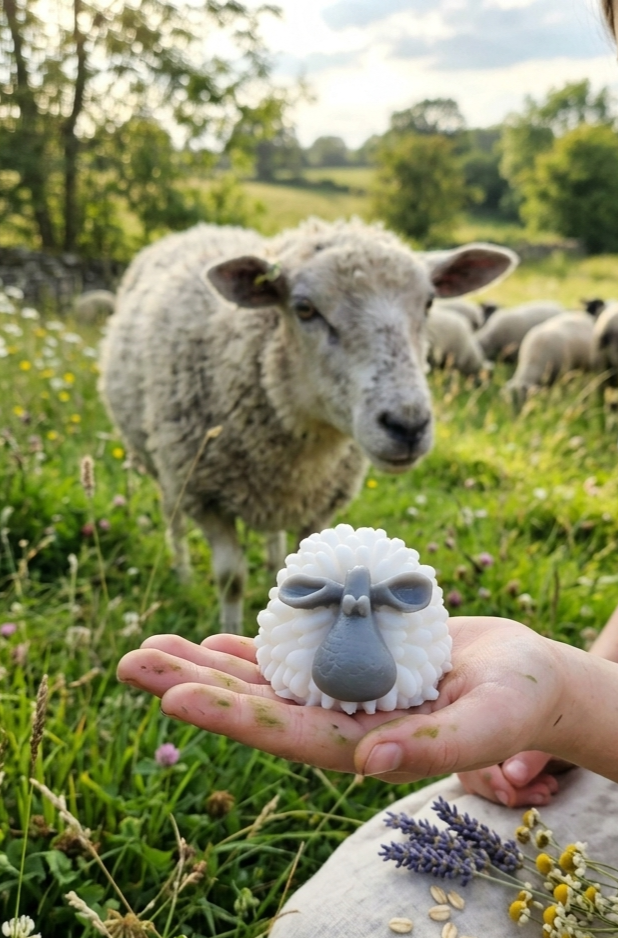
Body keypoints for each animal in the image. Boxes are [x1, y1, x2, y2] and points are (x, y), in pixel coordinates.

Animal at [100, 217, 516, 632]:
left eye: (429, 303)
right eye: (303, 308)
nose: (408, 425)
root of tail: (201, 228)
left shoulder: (318, 503)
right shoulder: (206, 497)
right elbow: (231, 580)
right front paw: (228, 631)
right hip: (164, 467)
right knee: (173, 518)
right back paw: (183, 572)